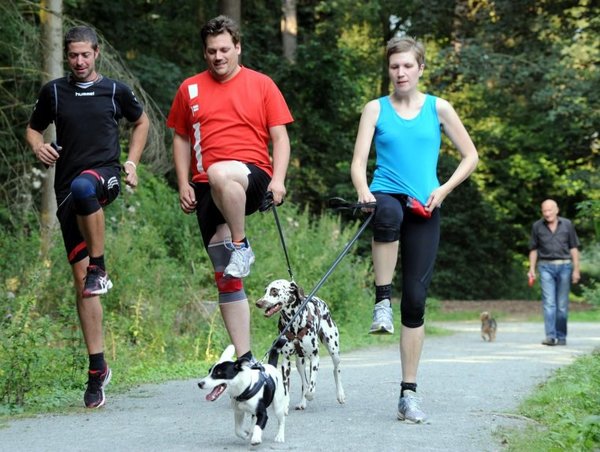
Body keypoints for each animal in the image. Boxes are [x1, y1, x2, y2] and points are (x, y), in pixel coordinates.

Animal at [255, 278, 344, 410]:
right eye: (265, 291)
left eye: (274, 291)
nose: (259, 303)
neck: (294, 323)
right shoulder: (286, 361)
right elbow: (288, 386)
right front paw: (285, 403)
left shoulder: (315, 358)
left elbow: (311, 386)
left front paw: (310, 395)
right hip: (299, 363)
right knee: (304, 381)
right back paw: (302, 402)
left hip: (334, 350)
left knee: (336, 370)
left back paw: (340, 394)